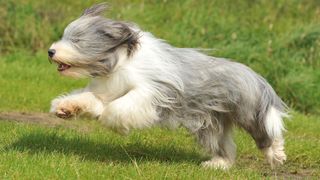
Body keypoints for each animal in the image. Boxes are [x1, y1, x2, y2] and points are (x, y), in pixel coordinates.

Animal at [47, 3, 288, 170]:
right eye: (65, 36)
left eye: (77, 41)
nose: (51, 51)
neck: (119, 62)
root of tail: (255, 76)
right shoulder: (107, 89)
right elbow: (91, 99)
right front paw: (65, 108)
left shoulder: (153, 91)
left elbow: (120, 106)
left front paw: (114, 123)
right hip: (210, 122)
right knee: (223, 145)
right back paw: (218, 164)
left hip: (248, 111)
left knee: (266, 132)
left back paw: (275, 155)